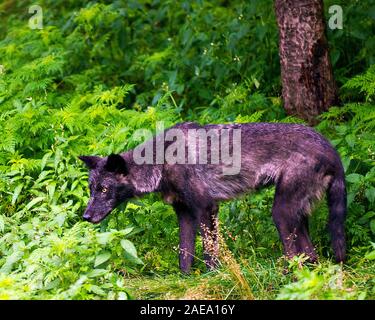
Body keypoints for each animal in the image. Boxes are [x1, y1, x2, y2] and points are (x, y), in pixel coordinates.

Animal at [79, 122, 346, 272]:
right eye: (91, 189)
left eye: (104, 189)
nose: (86, 216)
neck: (162, 161)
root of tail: (331, 149)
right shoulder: (185, 214)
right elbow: (185, 255)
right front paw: (185, 280)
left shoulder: (206, 208)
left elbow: (209, 251)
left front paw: (213, 277)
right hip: (297, 217)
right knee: (311, 256)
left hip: (281, 213)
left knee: (295, 255)